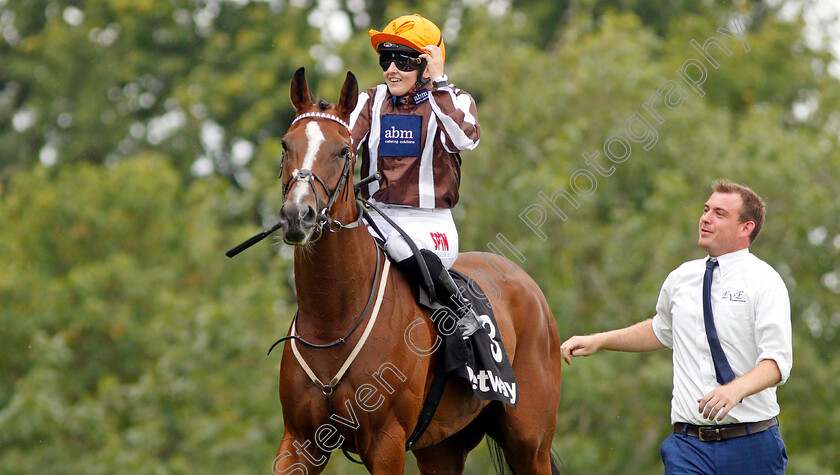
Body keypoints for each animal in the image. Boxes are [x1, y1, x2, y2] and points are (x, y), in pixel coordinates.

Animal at [266, 68, 560, 475]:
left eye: (343, 150)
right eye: (285, 144)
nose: (298, 215)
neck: (333, 322)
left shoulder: (386, 443)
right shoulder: (300, 441)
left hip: (529, 442)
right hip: (443, 447)